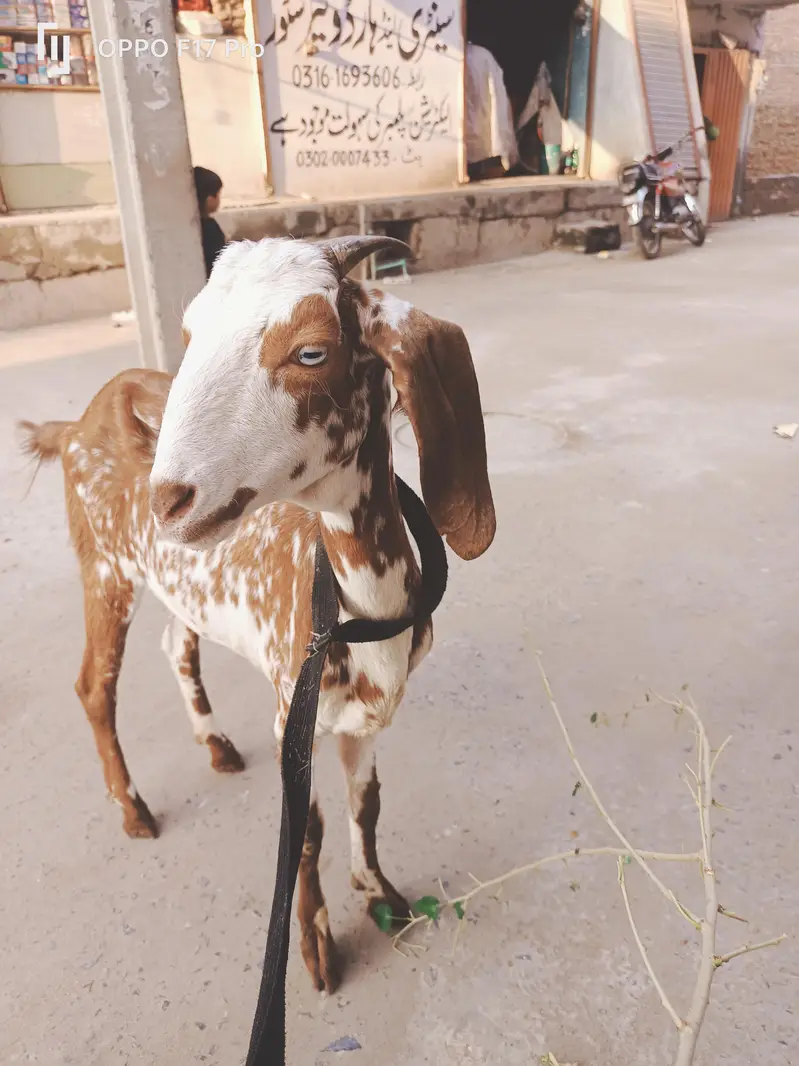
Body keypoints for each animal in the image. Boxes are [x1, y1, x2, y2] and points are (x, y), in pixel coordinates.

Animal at [19, 235, 495, 993]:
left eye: (311, 352)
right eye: (189, 335)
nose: (167, 499)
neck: (358, 609)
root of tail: (79, 421)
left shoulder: (364, 719)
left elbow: (367, 802)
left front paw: (380, 892)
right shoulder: (289, 713)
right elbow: (305, 830)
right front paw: (317, 947)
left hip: (176, 579)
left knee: (176, 644)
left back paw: (213, 743)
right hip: (104, 566)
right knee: (95, 683)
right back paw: (133, 809)